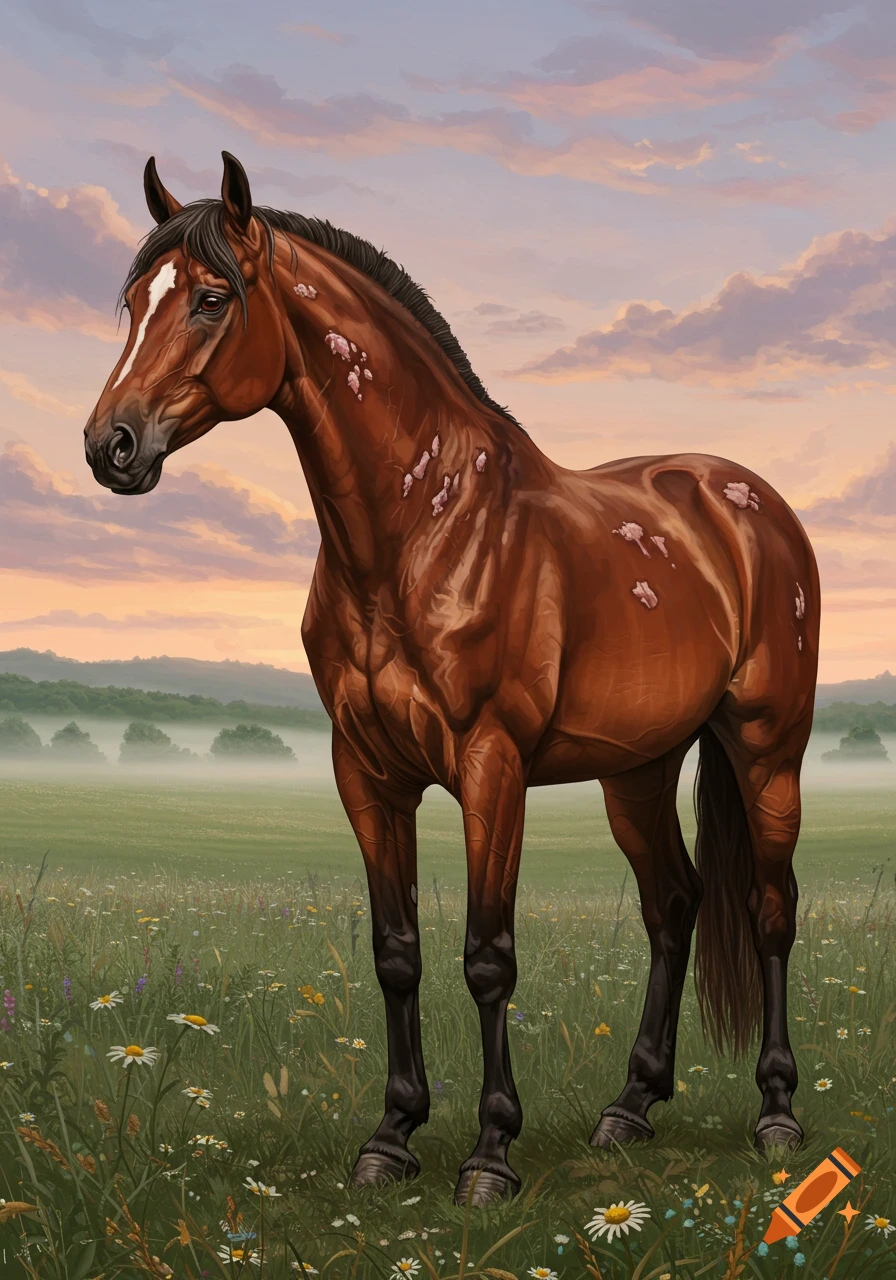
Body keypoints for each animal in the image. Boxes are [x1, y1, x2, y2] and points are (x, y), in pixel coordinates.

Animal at [84, 152, 819, 1207]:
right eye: (135, 301)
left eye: (212, 300)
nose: (112, 446)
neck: (424, 527)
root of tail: (750, 501)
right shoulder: (365, 774)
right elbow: (397, 954)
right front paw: (391, 1138)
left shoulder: (490, 768)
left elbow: (487, 957)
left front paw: (489, 1155)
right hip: (635, 769)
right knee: (674, 904)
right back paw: (629, 1107)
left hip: (768, 749)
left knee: (768, 910)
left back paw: (776, 1114)